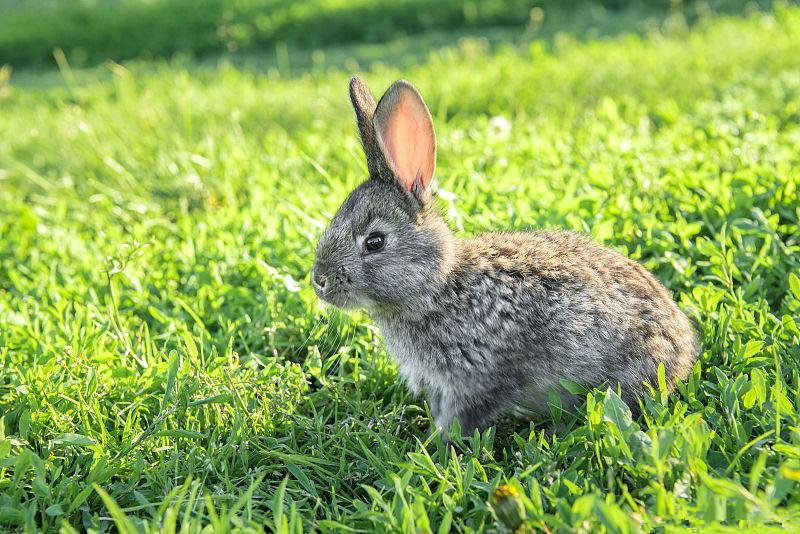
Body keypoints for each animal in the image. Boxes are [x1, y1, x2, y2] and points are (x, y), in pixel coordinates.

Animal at [310, 78, 696, 440]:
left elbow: (460, 418)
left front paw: (434, 444)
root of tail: (683, 352)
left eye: (375, 242)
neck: (438, 288)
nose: (319, 281)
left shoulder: (476, 379)